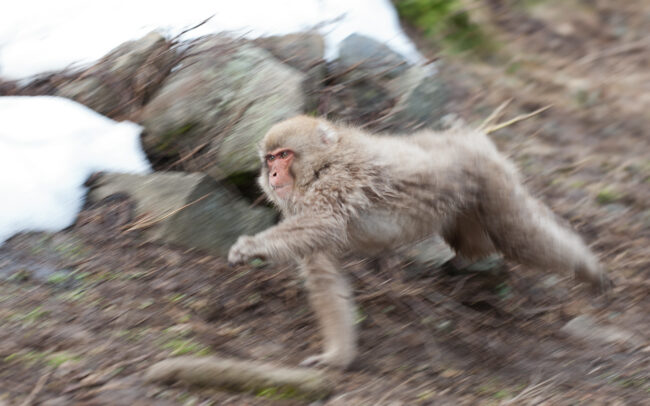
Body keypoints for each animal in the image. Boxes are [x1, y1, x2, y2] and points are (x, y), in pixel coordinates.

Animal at [228, 115, 610, 369]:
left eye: (285, 155)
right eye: (270, 158)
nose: (272, 174)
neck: (322, 163)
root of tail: (468, 138)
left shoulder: (338, 180)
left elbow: (322, 224)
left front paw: (250, 247)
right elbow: (324, 274)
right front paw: (336, 357)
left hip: (491, 179)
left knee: (519, 236)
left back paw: (586, 267)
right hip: (468, 203)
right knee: (476, 244)